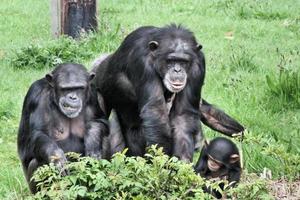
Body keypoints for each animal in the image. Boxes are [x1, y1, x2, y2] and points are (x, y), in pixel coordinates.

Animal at [17, 63, 108, 193]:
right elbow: (37, 133)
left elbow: (100, 120)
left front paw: (92, 142)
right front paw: (56, 156)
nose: (72, 97)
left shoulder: (93, 94)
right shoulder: (36, 95)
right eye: (65, 89)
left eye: (79, 88)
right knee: (38, 162)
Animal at [94, 24, 206, 161]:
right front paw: (161, 163)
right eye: (170, 60)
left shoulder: (199, 65)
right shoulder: (142, 62)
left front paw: (181, 163)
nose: (177, 70)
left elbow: (182, 116)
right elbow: (155, 112)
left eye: (183, 62)